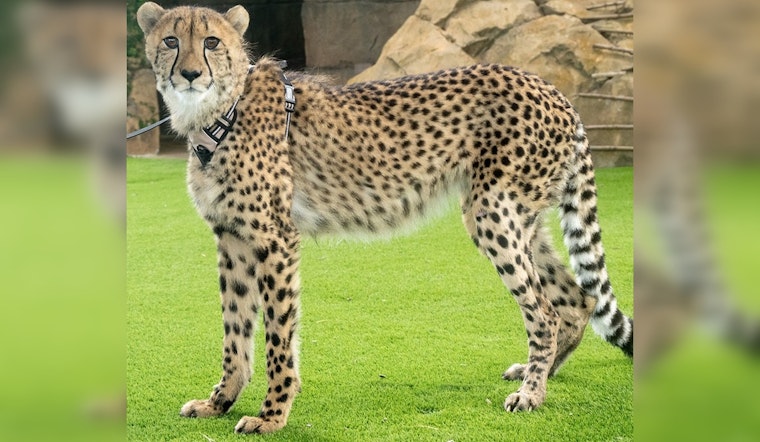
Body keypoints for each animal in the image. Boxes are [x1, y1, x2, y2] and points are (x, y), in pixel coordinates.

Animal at [136, 2, 633, 434]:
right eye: (171, 41)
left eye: (212, 42)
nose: (190, 73)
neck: (218, 112)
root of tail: (553, 90)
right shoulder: (233, 239)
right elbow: (235, 331)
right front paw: (219, 402)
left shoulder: (274, 239)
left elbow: (278, 334)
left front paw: (271, 416)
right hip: (521, 218)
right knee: (577, 300)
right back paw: (540, 376)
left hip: (492, 212)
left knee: (545, 310)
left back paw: (531, 393)